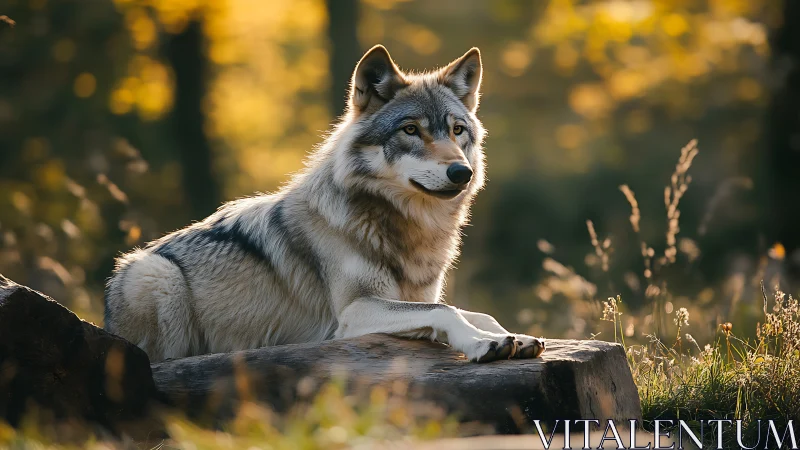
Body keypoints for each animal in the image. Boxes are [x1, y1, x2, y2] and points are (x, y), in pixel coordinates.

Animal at [104, 45, 545, 363]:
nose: (461, 172)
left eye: (457, 130)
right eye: (410, 130)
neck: (405, 228)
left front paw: (512, 336)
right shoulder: (353, 311)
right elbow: (446, 311)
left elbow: (475, 312)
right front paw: (484, 344)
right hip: (156, 274)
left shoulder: (416, 296)